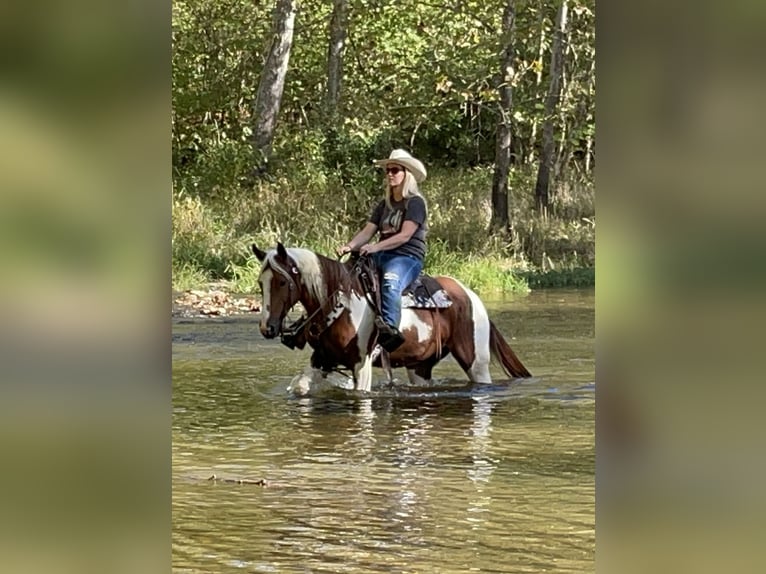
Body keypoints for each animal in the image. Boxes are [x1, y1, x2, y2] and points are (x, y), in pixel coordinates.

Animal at [255, 243, 532, 396]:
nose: (268, 328)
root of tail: (470, 296)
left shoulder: (362, 363)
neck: (342, 303)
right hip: (420, 367)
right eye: (260, 283)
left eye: (282, 282)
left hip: (476, 362)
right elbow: (300, 387)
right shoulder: (323, 358)